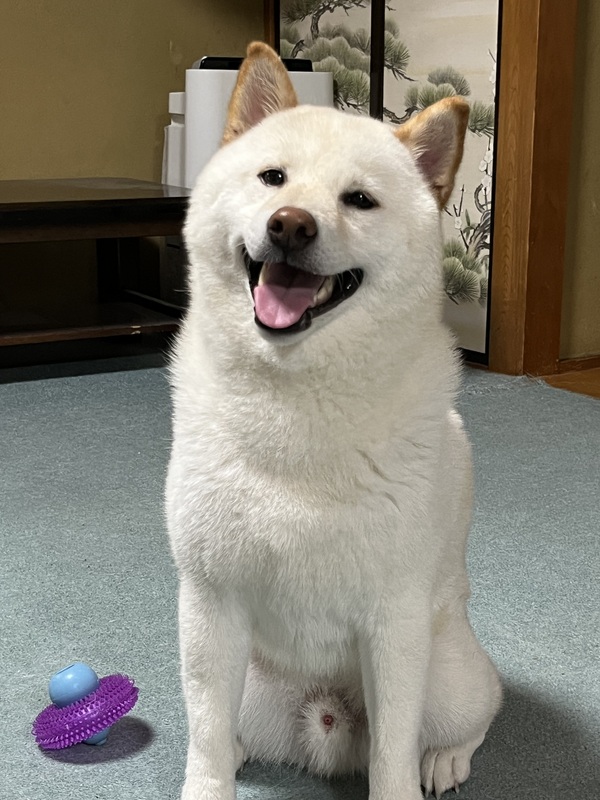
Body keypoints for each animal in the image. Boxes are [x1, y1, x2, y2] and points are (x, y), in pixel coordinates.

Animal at [166, 42, 501, 800]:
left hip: (447, 676)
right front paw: (207, 783)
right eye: (273, 177)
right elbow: (203, 739)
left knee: (472, 715)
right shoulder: (210, 602)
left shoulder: (394, 621)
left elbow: (393, 756)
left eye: (360, 200)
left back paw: (447, 759)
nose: (290, 223)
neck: (298, 404)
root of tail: (324, 721)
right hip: (244, 679)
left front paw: (406, 777)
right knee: (217, 725)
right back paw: (241, 746)